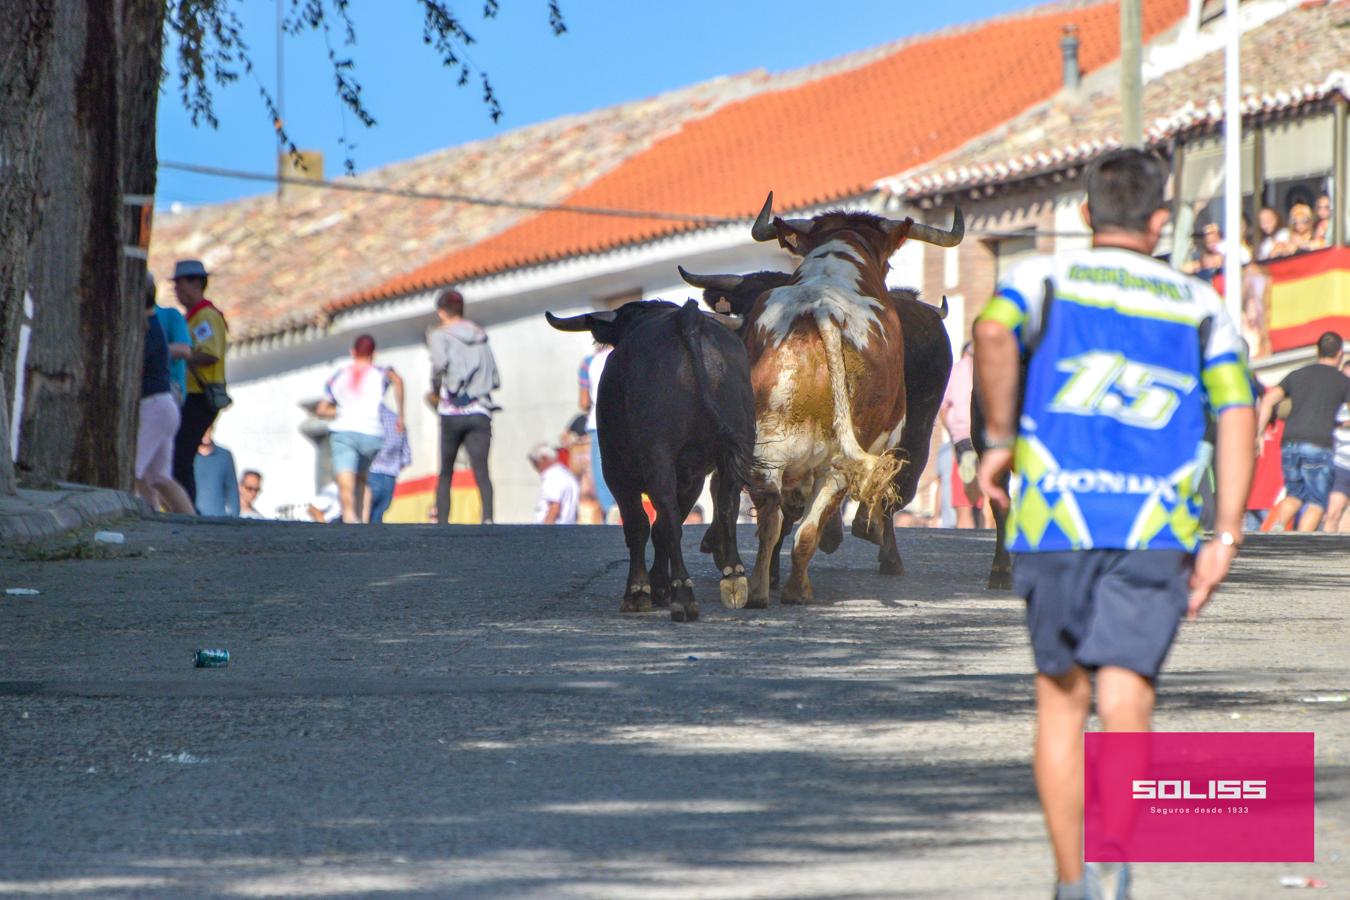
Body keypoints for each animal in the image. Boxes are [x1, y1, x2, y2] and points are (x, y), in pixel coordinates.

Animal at [548, 299, 761, 623]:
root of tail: (687, 317)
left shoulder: (616, 471)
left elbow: (640, 525)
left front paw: (639, 591)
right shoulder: (691, 476)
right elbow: (661, 528)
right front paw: (659, 586)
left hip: (655, 454)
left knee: (666, 516)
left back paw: (684, 596)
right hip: (734, 448)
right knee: (726, 504)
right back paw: (733, 576)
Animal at [729, 194, 961, 609]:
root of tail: (820, 309)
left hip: (766, 450)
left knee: (771, 518)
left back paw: (759, 590)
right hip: (838, 462)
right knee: (806, 528)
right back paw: (797, 589)